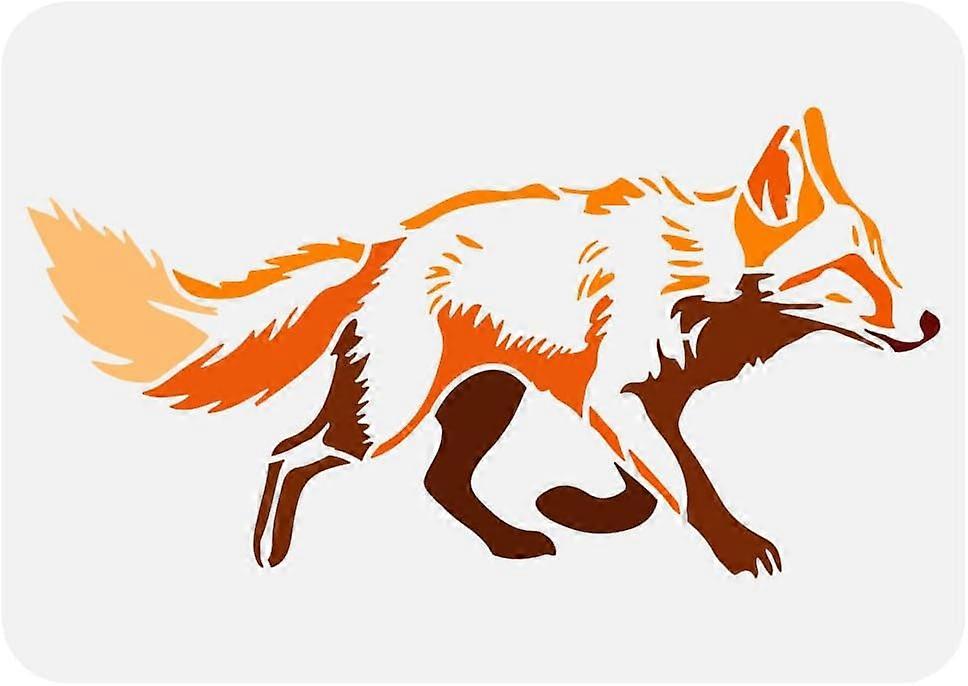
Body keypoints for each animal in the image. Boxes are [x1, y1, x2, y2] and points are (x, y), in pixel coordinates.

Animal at [29, 107, 939, 577]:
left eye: (885, 259)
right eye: (850, 267)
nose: (933, 324)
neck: (690, 286)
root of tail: (383, 246)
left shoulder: (633, 404)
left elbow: (655, 489)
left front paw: (579, 510)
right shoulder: (613, 399)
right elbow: (688, 487)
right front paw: (737, 546)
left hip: (483, 403)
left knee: (438, 482)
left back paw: (510, 540)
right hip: (385, 420)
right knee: (290, 452)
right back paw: (268, 554)